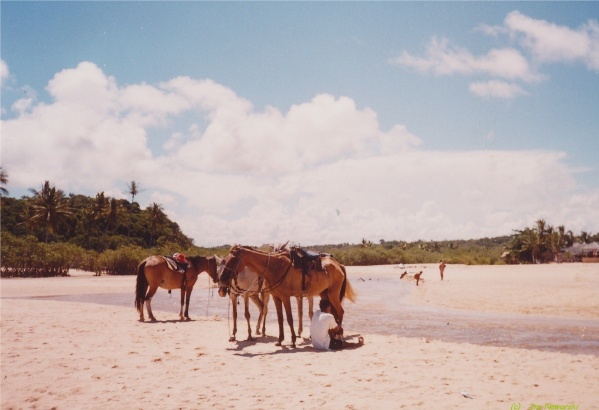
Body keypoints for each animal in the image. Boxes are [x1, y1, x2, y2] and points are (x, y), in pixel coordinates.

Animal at [219, 245, 354, 348]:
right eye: (225, 259)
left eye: (233, 259)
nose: (222, 280)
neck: (274, 267)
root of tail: (339, 265)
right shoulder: (276, 298)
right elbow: (280, 319)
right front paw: (280, 340)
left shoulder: (285, 297)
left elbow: (289, 318)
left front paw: (293, 340)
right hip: (324, 293)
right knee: (334, 312)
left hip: (333, 294)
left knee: (340, 312)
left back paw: (339, 335)